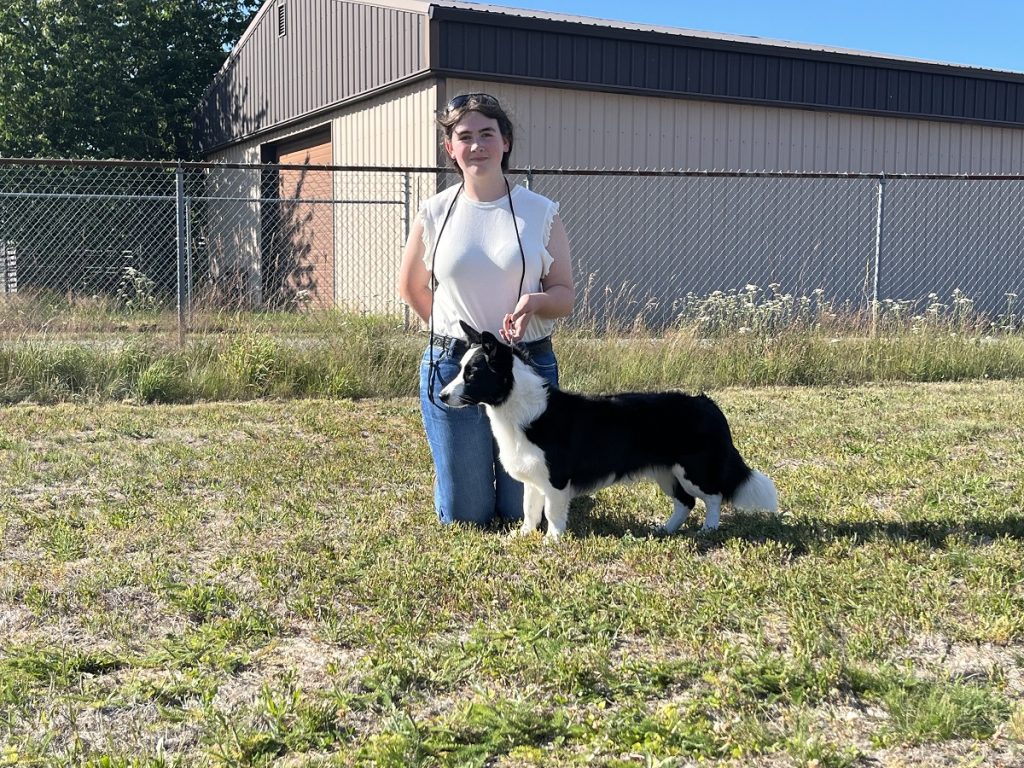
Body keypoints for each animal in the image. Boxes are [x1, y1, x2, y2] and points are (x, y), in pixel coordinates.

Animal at [436, 321, 778, 544]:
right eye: (461, 369)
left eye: (473, 373)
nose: (440, 396)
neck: (516, 407)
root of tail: (707, 403)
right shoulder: (533, 479)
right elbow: (529, 510)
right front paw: (522, 536)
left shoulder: (557, 479)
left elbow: (552, 511)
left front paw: (552, 541)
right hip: (666, 473)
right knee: (685, 503)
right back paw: (666, 530)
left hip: (691, 469)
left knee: (713, 496)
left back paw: (709, 529)